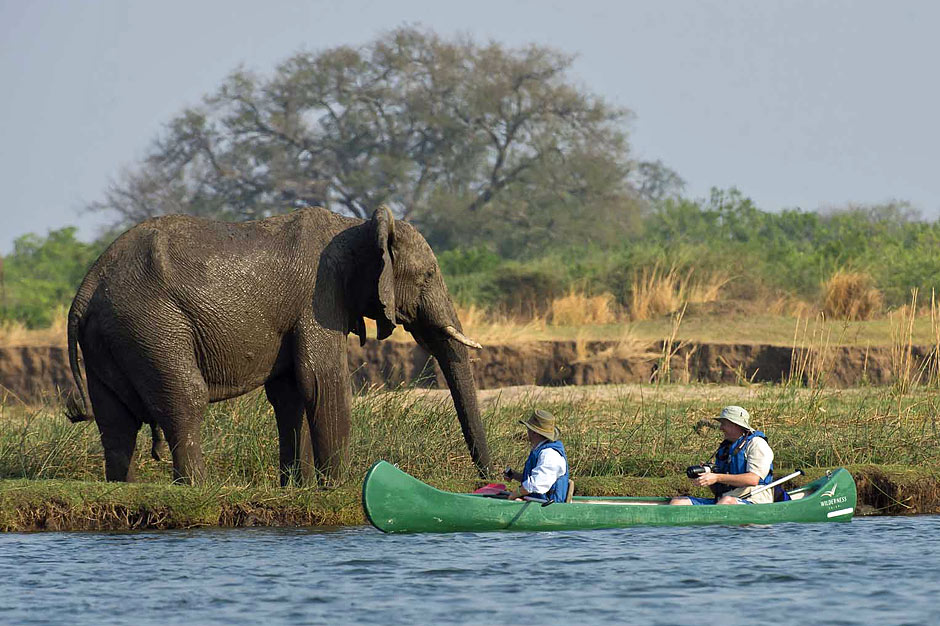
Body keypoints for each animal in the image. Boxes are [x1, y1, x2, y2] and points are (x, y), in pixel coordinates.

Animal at [65, 205, 491, 484]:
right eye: (429, 274)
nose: (489, 484)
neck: (358, 226)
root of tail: (86, 287)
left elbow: (290, 393)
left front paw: (297, 489)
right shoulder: (318, 297)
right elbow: (322, 382)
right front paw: (338, 490)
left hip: (112, 336)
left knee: (115, 420)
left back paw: (124, 487)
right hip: (153, 327)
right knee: (184, 401)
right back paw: (200, 489)